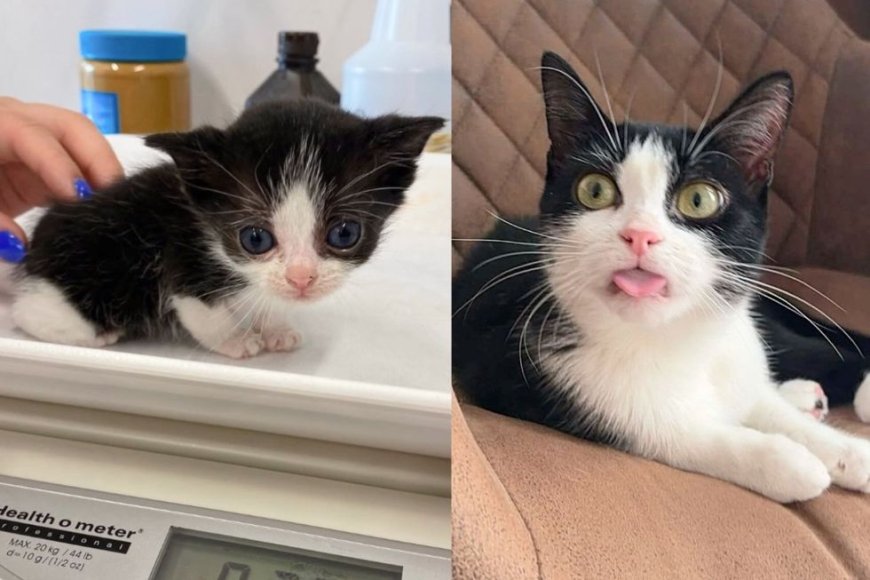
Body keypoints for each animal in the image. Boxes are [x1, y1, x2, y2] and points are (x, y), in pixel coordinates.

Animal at [10, 102, 440, 360]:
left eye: (345, 234)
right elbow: (203, 314)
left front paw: (275, 327)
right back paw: (97, 334)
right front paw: (237, 340)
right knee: (28, 313)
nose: (302, 278)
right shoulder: (179, 261)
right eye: (255, 239)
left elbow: (265, 297)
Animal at [454, 52, 870, 500]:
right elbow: (679, 433)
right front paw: (789, 462)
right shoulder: (516, 368)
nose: (640, 234)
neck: (675, 338)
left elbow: (760, 403)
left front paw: (846, 451)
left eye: (699, 199)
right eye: (595, 190)